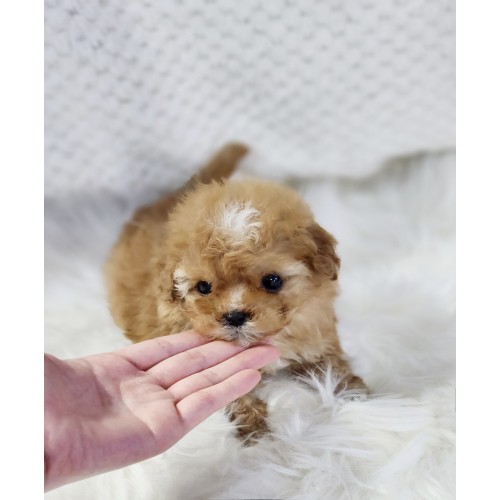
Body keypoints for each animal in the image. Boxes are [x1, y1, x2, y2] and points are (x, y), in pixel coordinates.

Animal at [105, 143, 366, 443]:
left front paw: (355, 391)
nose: (234, 317)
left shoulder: (315, 328)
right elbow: (236, 396)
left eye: (272, 281)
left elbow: (330, 362)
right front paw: (257, 434)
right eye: (203, 287)